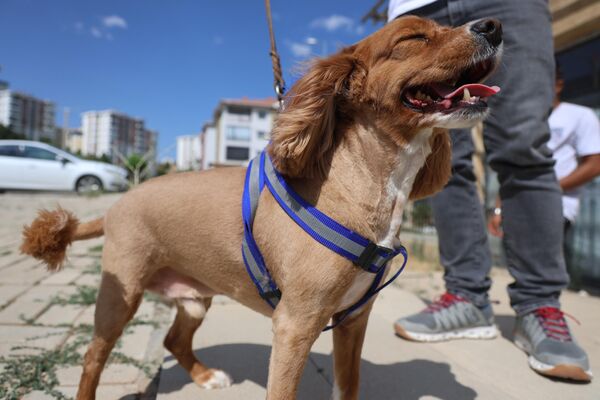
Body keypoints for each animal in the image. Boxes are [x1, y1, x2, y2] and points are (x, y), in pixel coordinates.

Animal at [21, 15, 502, 400]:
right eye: (414, 37)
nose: (493, 25)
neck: (360, 186)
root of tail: (116, 205)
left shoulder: (353, 321)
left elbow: (348, 388)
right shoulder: (294, 326)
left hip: (194, 298)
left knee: (174, 341)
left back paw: (204, 376)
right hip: (120, 296)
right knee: (93, 357)